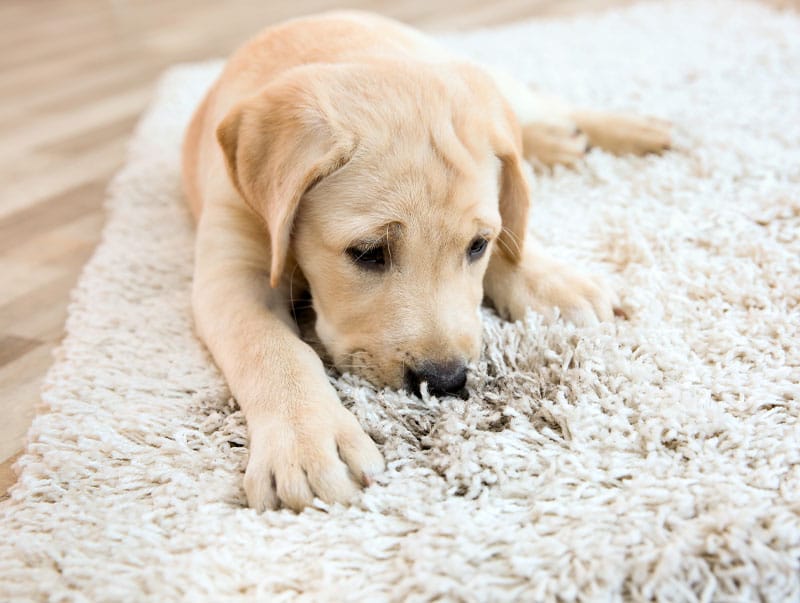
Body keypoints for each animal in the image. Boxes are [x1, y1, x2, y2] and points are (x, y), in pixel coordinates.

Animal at [181, 11, 668, 512]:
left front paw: (552, 281)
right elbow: (270, 348)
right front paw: (305, 443)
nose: (445, 382)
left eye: (477, 246)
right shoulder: (232, 271)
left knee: (534, 115)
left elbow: (512, 221)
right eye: (368, 252)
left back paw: (633, 130)